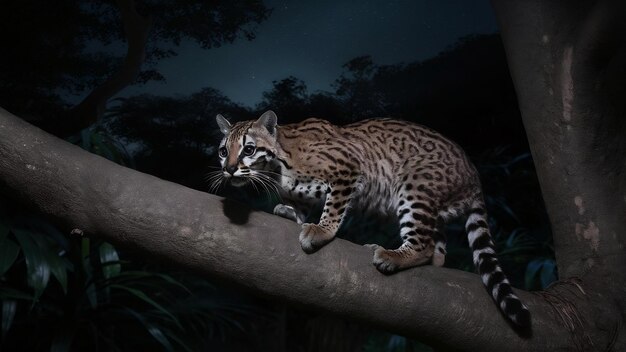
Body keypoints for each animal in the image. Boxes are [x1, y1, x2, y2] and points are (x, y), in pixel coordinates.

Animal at [212, 110, 528, 328]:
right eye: (223, 151)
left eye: (249, 149)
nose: (229, 169)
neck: (278, 164)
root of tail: (475, 176)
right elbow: (300, 202)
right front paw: (290, 212)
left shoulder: (349, 169)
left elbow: (334, 208)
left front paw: (321, 230)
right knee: (437, 251)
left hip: (415, 185)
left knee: (424, 245)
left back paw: (393, 254)